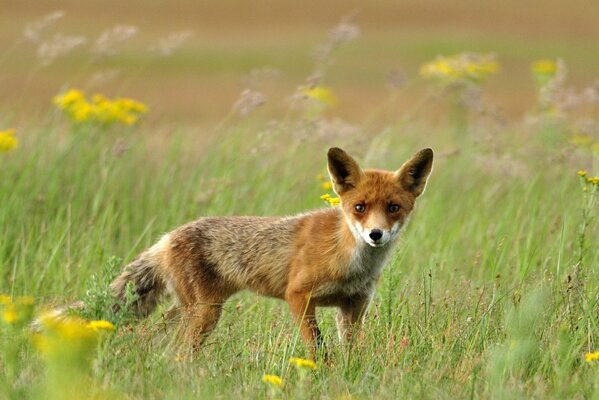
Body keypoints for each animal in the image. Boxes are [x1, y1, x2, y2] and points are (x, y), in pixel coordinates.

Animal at [111, 147, 432, 356]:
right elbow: (317, 348)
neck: (349, 261)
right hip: (205, 312)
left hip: (189, 309)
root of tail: (167, 237)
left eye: (393, 208)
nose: (375, 235)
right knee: (177, 349)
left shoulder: (354, 306)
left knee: (152, 336)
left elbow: (352, 352)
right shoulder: (298, 295)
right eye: (360, 207)